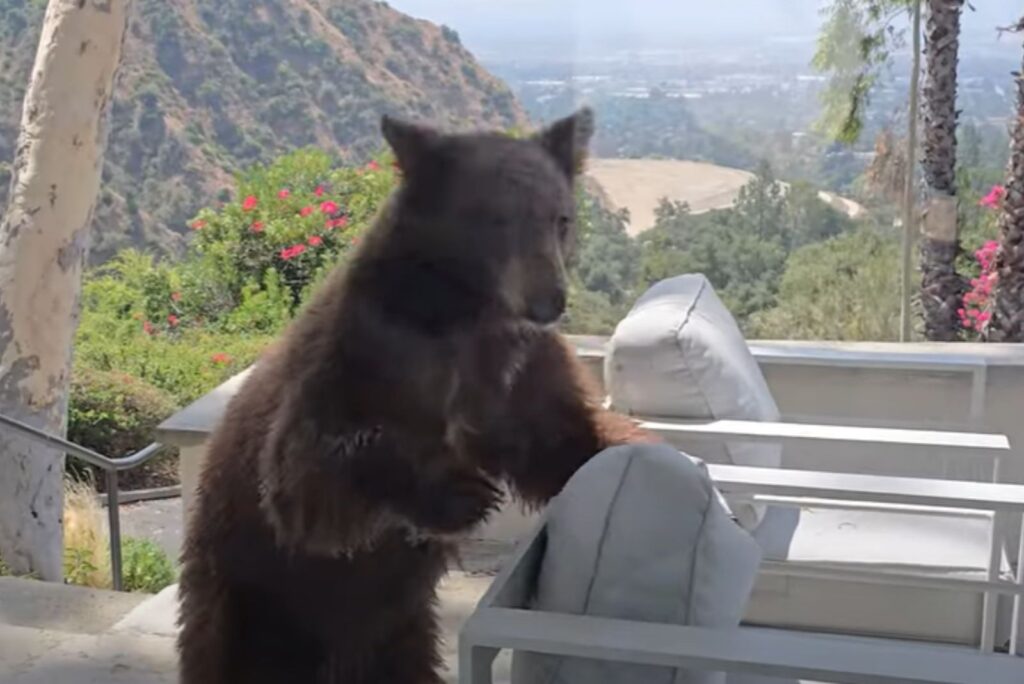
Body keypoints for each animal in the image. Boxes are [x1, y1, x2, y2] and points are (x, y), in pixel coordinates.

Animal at [178, 109, 647, 679]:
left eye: (561, 218)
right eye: (494, 218)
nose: (548, 300)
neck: (466, 312)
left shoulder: (518, 371)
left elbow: (559, 438)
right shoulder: (365, 355)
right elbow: (309, 472)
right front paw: (463, 493)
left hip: (399, 630)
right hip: (246, 594)